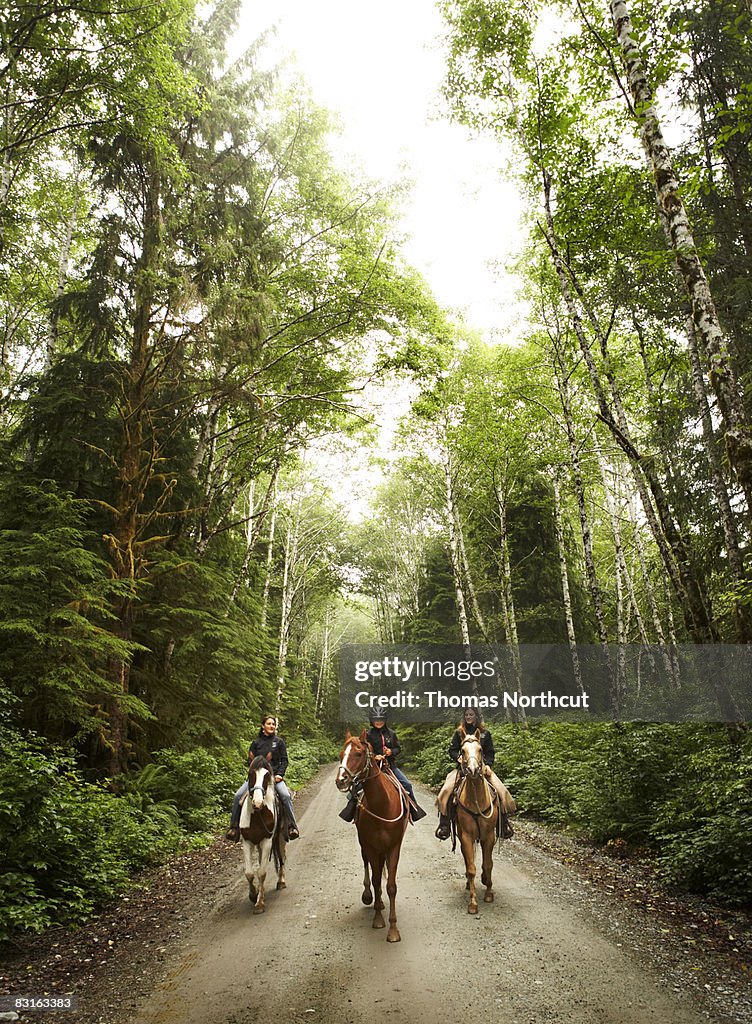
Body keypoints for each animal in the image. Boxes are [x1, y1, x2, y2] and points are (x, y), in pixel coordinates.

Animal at [241, 753, 288, 913]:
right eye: (250, 774)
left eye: (267, 775)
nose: (257, 803)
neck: (257, 815)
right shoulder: (247, 842)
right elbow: (250, 873)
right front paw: (253, 895)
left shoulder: (267, 841)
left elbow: (261, 873)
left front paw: (259, 903)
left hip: (279, 838)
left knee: (281, 858)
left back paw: (281, 881)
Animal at [338, 729, 409, 942]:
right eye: (341, 754)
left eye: (358, 753)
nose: (341, 780)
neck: (382, 805)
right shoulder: (370, 846)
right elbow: (377, 881)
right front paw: (378, 919)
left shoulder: (393, 846)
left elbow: (391, 886)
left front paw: (393, 930)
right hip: (366, 846)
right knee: (367, 866)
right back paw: (368, 895)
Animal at [452, 737, 499, 913]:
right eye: (462, 750)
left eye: (480, 749)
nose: (472, 770)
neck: (476, 799)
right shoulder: (466, 837)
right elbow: (472, 868)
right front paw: (472, 903)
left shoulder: (488, 836)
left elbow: (488, 865)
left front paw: (489, 893)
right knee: (468, 860)